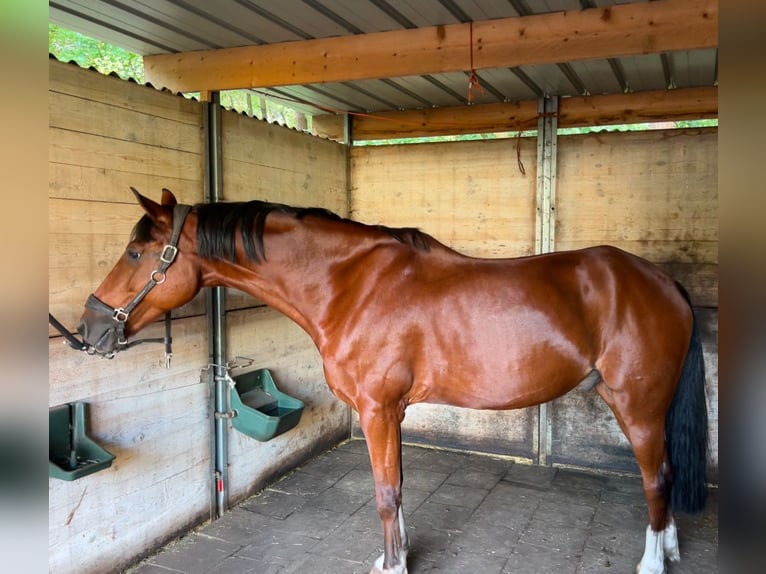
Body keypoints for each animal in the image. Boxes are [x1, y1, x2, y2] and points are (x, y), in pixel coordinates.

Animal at [76, 190, 708, 574]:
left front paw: (395, 562)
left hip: (637, 406)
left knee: (656, 478)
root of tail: (664, 282)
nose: (88, 329)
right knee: (667, 473)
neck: (350, 285)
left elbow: (385, 494)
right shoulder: (391, 411)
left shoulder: (377, 408)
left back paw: (653, 561)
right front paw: (395, 556)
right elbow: (397, 487)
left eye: (136, 252)